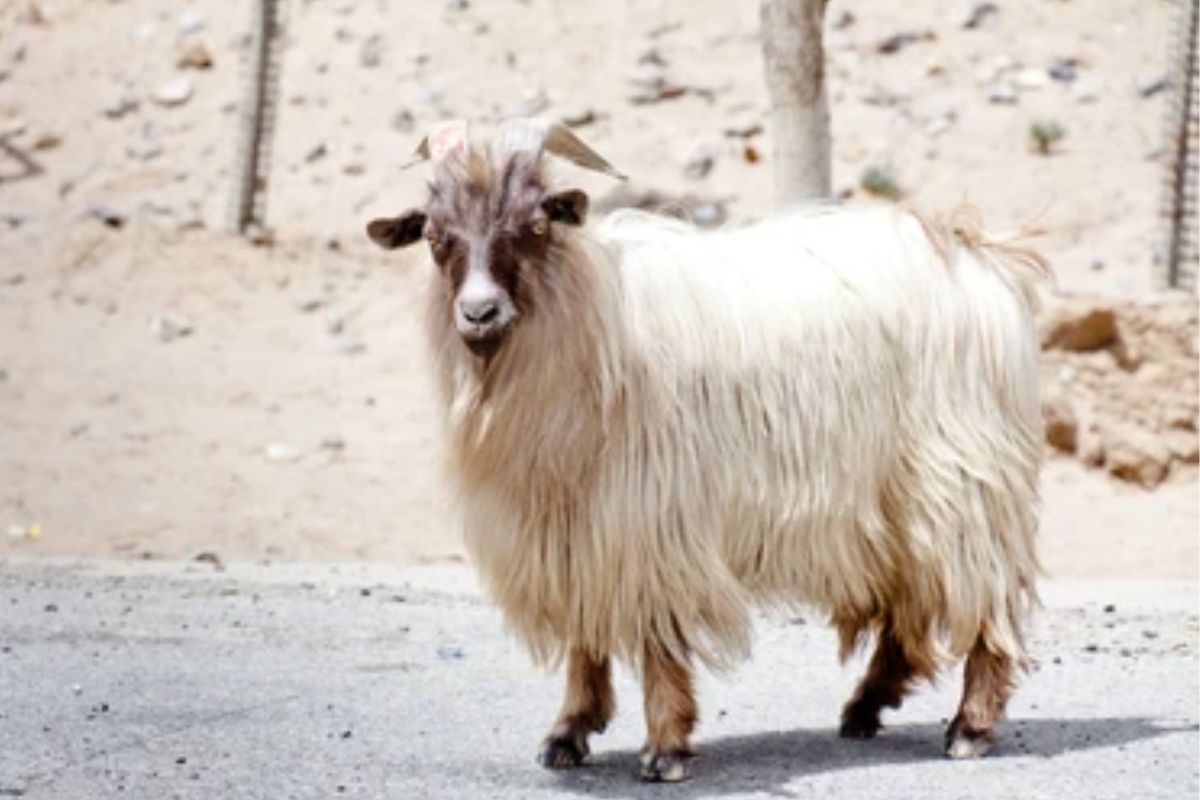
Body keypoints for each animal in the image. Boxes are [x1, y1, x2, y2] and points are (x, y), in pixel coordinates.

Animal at [366, 118, 1048, 782]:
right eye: (435, 236)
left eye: (535, 223)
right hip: (894, 504)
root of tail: (969, 246)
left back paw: (969, 727)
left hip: (962, 482)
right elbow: (585, 633)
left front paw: (665, 747)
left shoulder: (653, 519)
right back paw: (864, 707)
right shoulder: (577, 531)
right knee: (910, 605)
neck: (592, 320)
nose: (479, 312)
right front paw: (569, 730)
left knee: (982, 599)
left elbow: (658, 637)